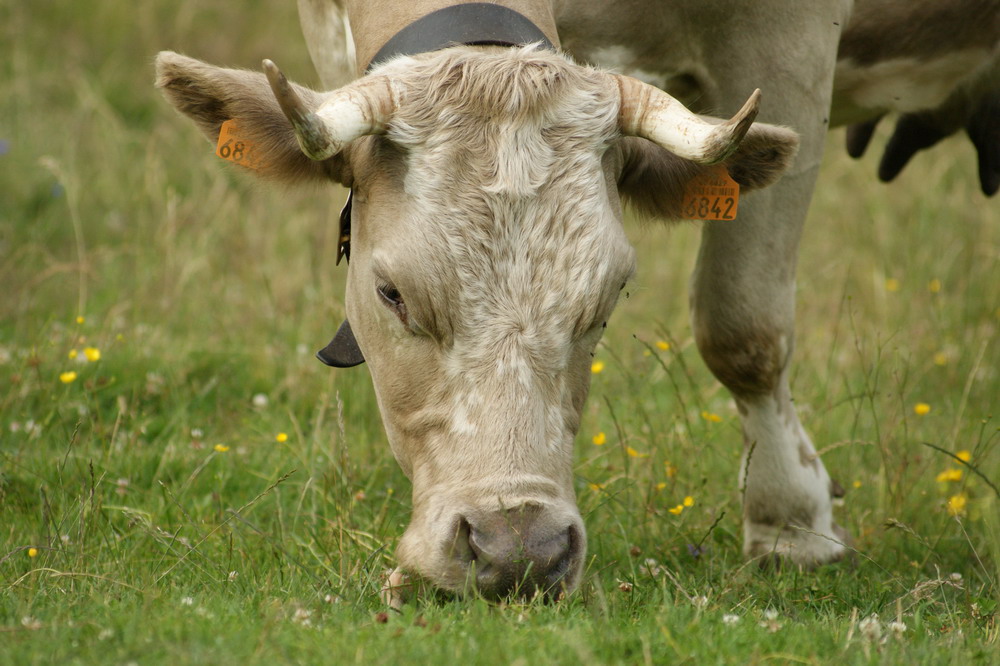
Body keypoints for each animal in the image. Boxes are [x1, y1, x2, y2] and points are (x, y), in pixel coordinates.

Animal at [156, 0, 1000, 600]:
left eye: (608, 299)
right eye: (390, 293)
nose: (518, 553)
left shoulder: (790, 43)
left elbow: (743, 327)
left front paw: (791, 523)